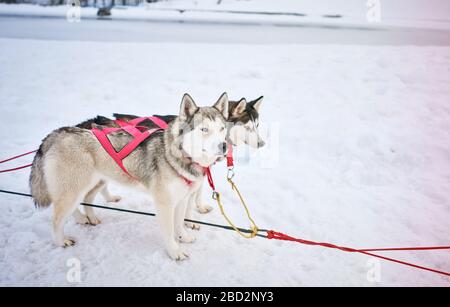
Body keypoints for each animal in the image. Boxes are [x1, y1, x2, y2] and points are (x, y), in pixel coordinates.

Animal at [29, 93, 229, 260]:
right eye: (204, 129)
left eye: (222, 128)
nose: (224, 146)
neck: (180, 156)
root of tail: (58, 133)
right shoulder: (165, 204)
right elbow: (168, 231)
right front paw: (174, 252)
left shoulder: (181, 199)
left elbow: (180, 223)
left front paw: (184, 237)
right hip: (72, 190)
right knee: (57, 218)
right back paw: (61, 241)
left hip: (93, 183)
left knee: (85, 200)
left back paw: (88, 218)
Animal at [74, 96, 264, 229]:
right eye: (248, 127)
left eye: (257, 125)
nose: (263, 143)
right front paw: (189, 222)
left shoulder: (198, 175)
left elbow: (196, 194)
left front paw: (199, 208)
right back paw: (81, 217)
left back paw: (109, 198)